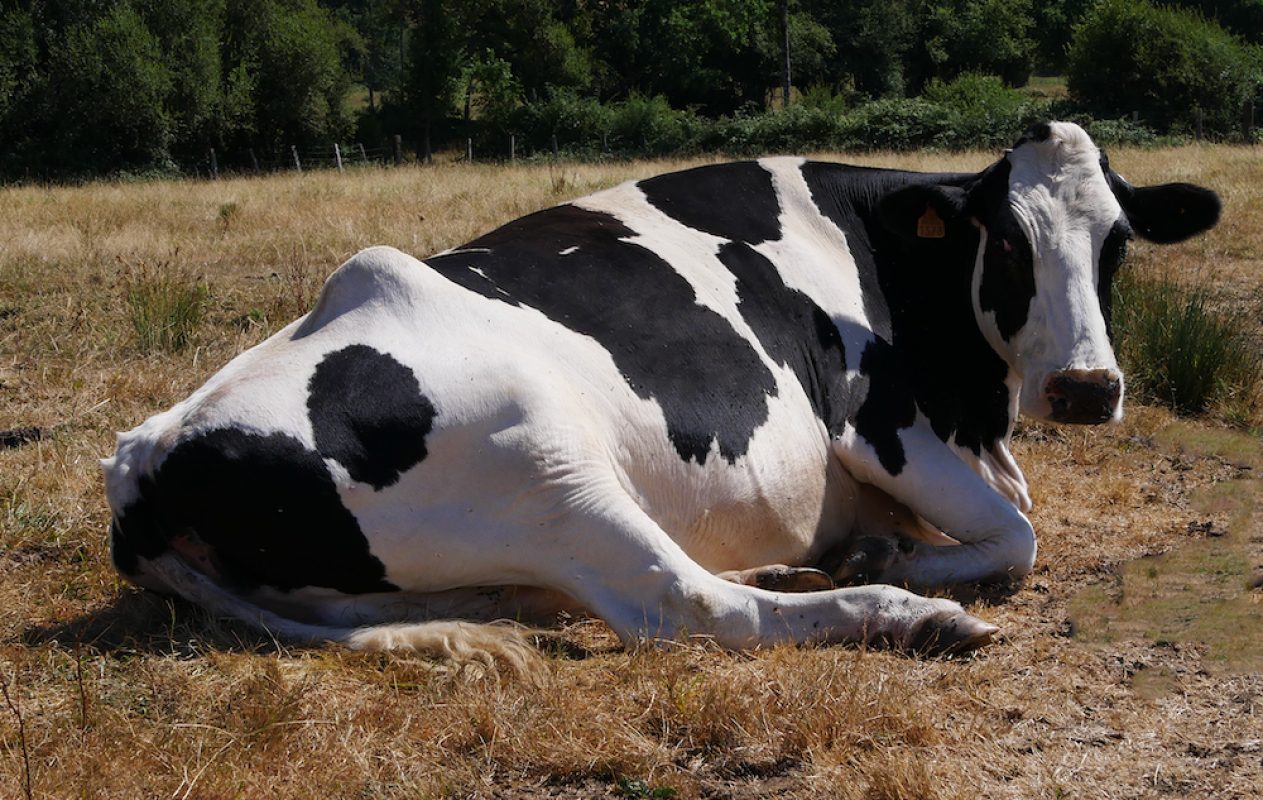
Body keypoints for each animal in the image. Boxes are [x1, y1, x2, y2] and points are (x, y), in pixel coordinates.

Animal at [102, 122, 1220, 667]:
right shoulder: (879, 426)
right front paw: (890, 555)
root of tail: (148, 454)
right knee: (686, 602)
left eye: (1118, 240)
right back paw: (902, 611)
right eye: (1008, 243)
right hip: (547, 464)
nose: (1086, 388)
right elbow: (1018, 535)